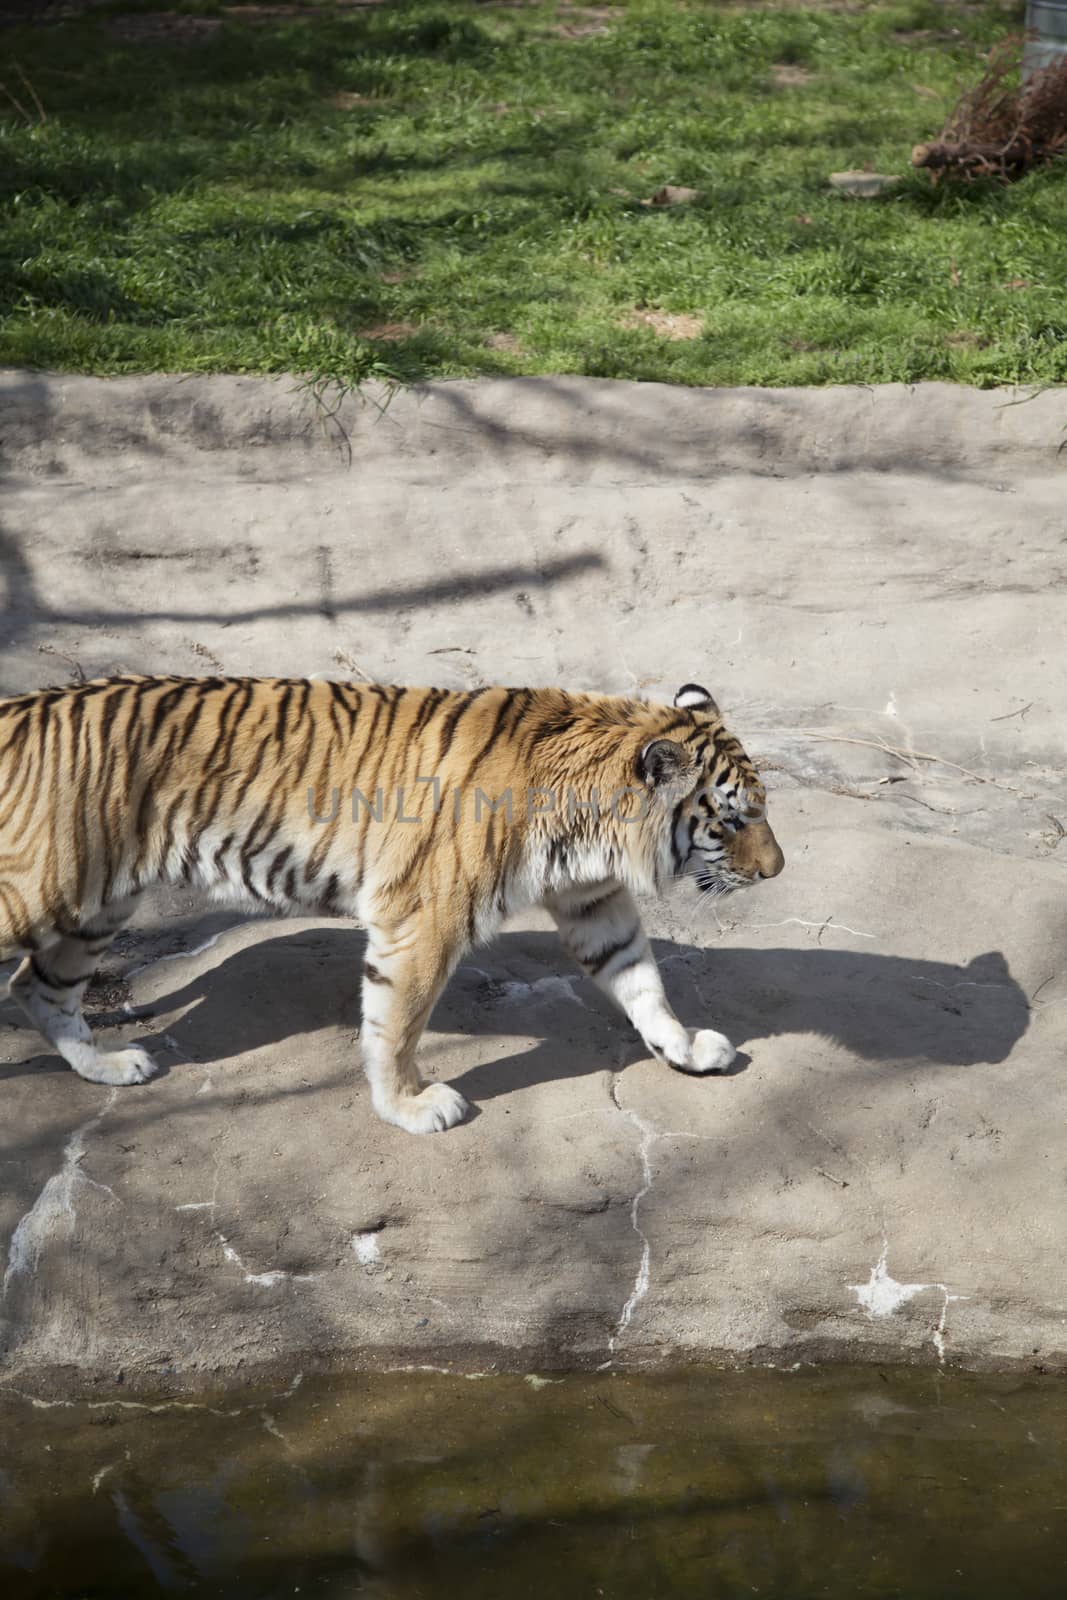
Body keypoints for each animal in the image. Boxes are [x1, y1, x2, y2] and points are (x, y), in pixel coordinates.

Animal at [0, 675, 783, 1139]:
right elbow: (397, 1024)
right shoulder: (423, 919)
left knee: (40, 987)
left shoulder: (594, 902)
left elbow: (642, 983)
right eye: (732, 820)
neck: (591, 827)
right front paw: (411, 1106)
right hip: (40, 893)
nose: (777, 870)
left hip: (97, 904)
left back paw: (108, 1066)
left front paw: (684, 1049)